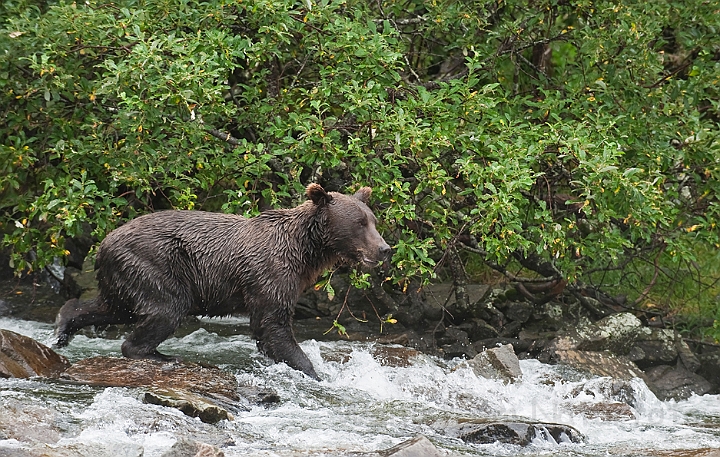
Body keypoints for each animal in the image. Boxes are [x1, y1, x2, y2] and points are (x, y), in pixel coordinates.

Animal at [53, 183, 390, 380]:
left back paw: (64, 325)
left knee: (113, 307)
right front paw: (314, 372)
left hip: (124, 275)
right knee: (165, 310)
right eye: (360, 223)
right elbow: (274, 325)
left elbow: (268, 331)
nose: (384, 249)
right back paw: (161, 354)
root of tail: (103, 244)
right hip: (154, 264)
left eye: (374, 220)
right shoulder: (270, 274)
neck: (305, 251)